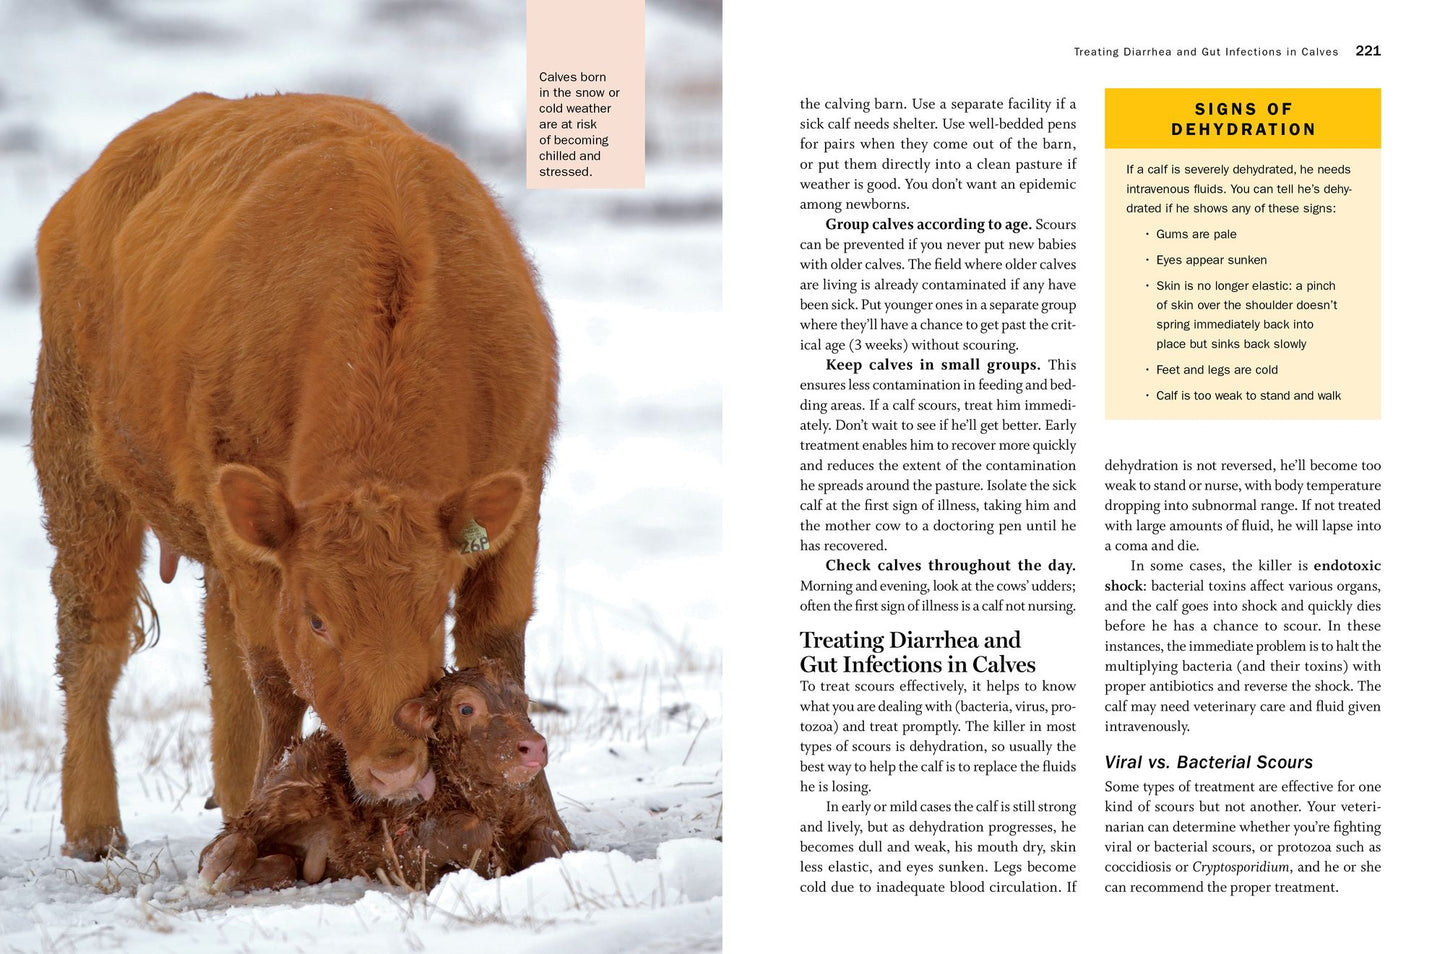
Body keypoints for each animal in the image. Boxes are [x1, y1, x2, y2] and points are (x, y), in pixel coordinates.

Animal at [31, 92, 568, 861]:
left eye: (433, 608)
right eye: (317, 619)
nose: (392, 767)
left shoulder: (520, 495)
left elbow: (500, 650)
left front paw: (547, 830)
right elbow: (276, 677)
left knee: (217, 651)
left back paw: (230, 795)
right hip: (78, 475)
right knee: (92, 642)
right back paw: (95, 828)